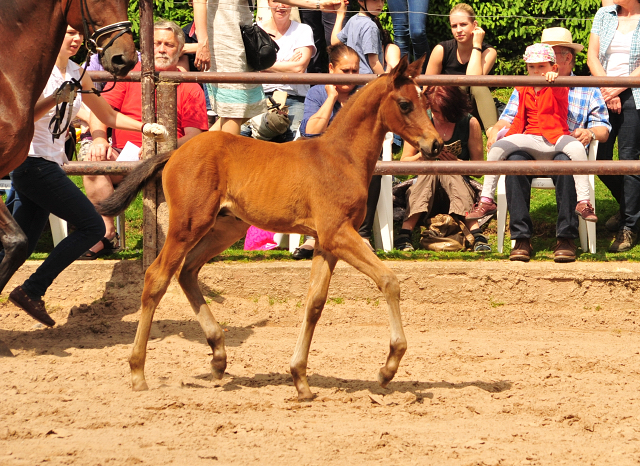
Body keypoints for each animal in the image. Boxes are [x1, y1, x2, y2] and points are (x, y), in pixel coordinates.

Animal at [101, 55, 440, 400]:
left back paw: (218, 356)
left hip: (226, 229)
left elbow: (315, 302)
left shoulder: (326, 242)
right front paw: (388, 368)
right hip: (188, 225)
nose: (436, 144)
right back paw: (138, 372)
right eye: (405, 104)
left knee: (188, 272)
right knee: (157, 277)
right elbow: (389, 281)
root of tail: (174, 153)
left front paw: (300, 377)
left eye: (425, 101)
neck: (341, 158)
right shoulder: (338, 233)